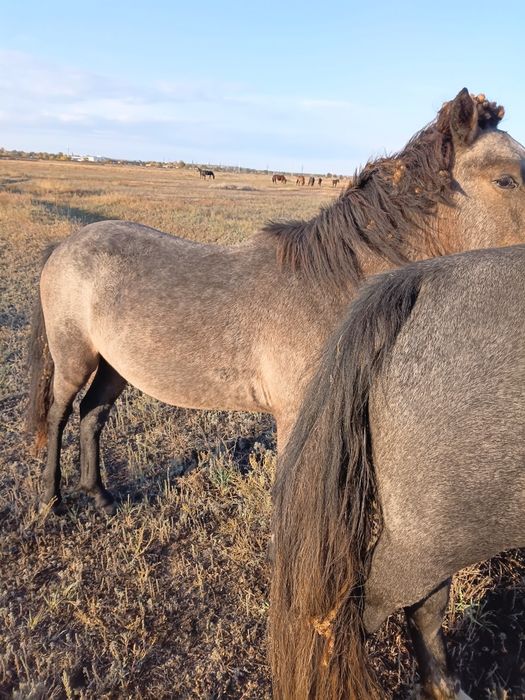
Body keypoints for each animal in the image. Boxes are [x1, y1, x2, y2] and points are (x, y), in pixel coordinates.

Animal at [27, 89, 525, 517]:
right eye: (506, 179)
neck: (330, 286)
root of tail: (63, 246)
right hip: (75, 358)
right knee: (59, 415)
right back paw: (51, 500)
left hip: (115, 365)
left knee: (93, 416)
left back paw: (100, 496)